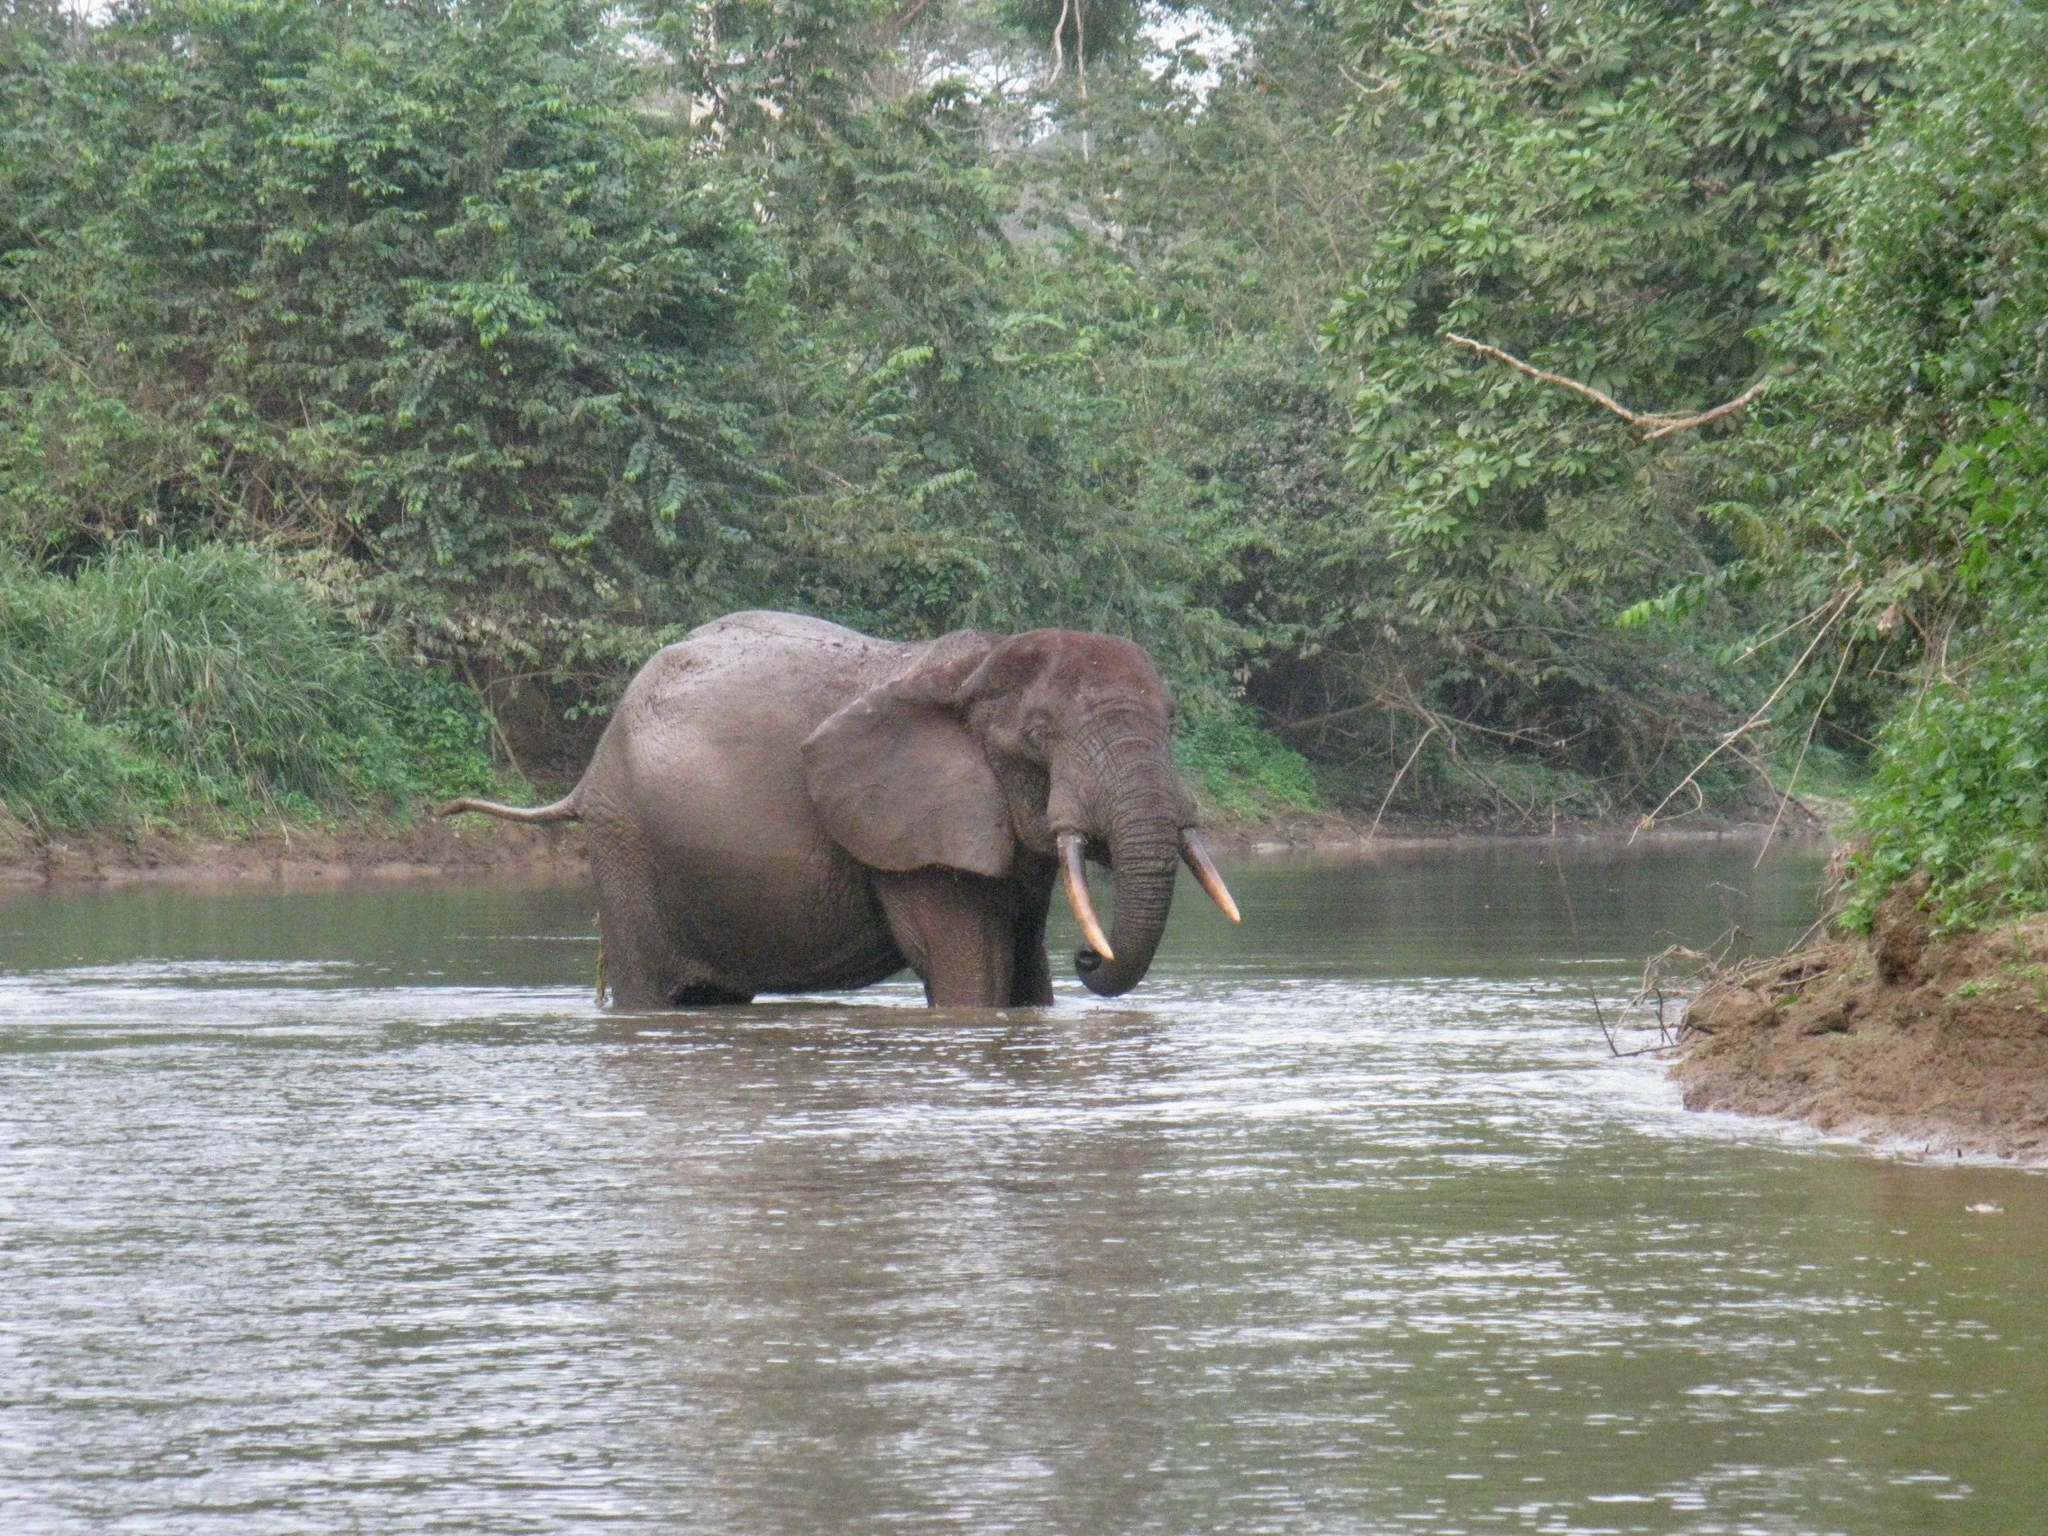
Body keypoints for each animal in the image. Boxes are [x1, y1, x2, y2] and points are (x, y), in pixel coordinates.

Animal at [439, 610, 1239, 1009]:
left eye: (1172, 721)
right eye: (1040, 735)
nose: (1088, 955)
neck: (976, 668)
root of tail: (587, 773)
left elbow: (1024, 975)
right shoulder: (917, 834)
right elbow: (973, 973)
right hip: (626, 842)